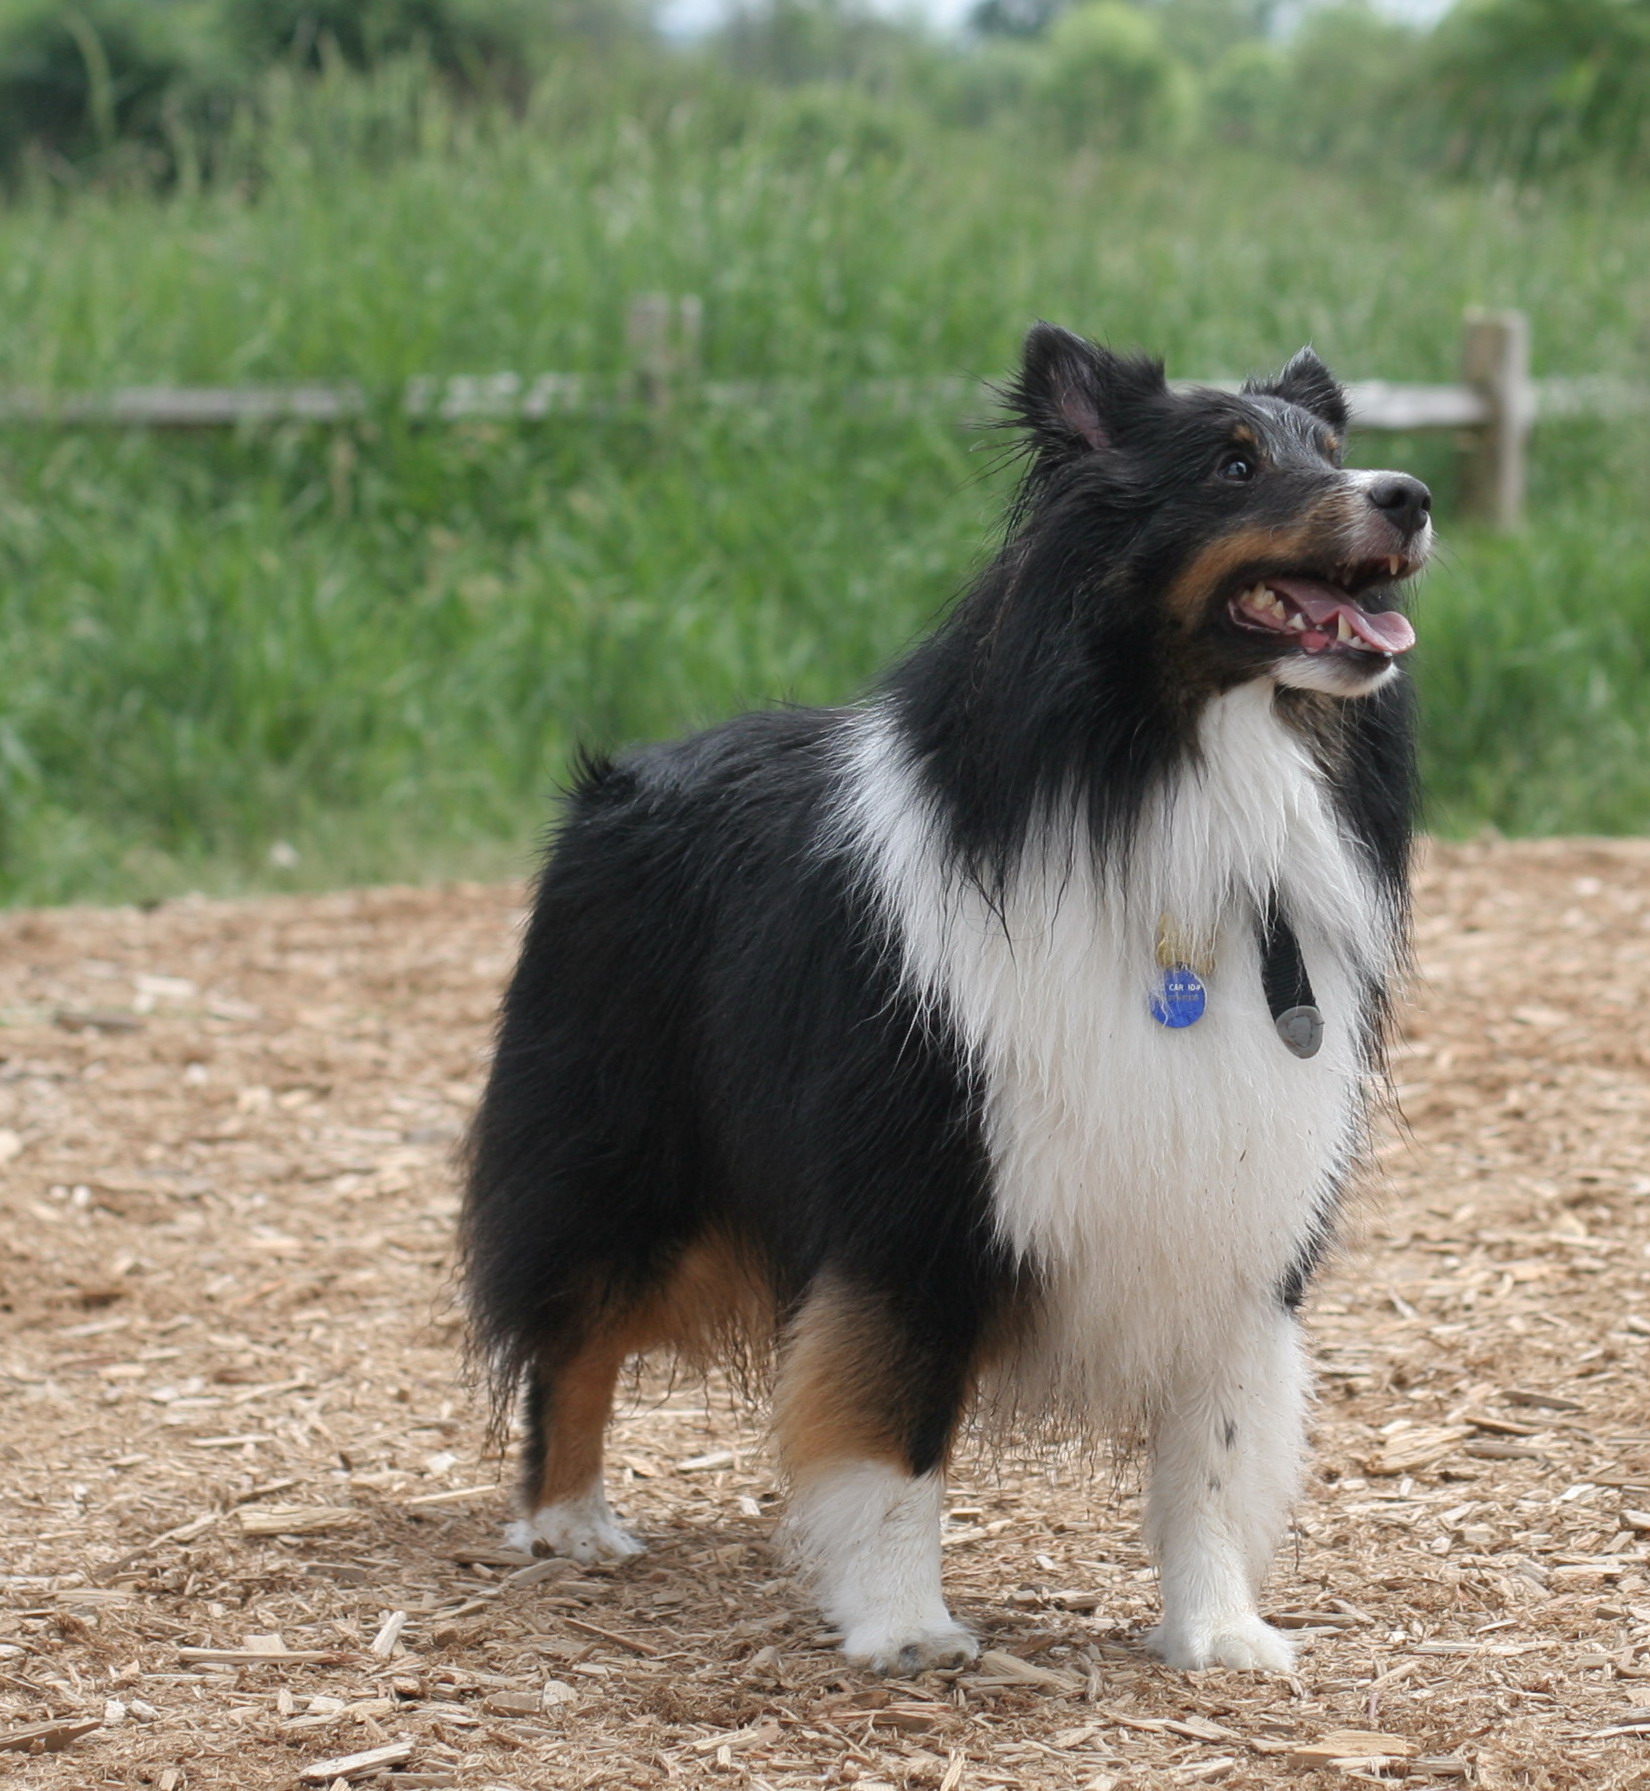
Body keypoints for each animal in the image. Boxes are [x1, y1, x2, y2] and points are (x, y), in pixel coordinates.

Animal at [461, 323, 1430, 1676]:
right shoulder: (912, 1204)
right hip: (631, 1160)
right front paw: (904, 1628)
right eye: (1233, 464)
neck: (1169, 785)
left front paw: (1218, 1632)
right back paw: (569, 1522)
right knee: (572, 1331)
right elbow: (895, 1431)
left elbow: (1213, 1453)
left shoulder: (1236, 1215)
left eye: (1335, 451)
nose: (1412, 497)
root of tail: (618, 781)